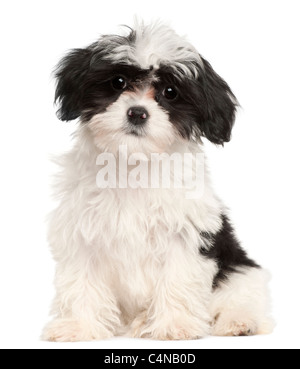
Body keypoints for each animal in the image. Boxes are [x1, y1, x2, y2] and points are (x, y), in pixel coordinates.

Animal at [42, 20, 274, 340]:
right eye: (118, 82)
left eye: (170, 92)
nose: (137, 113)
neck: (135, 164)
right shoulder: (81, 232)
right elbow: (81, 281)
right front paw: (79, 325)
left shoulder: (186, 233)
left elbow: (178, 277)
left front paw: (175, 324)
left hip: (241, 269)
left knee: (242, 294)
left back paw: (238, 322)